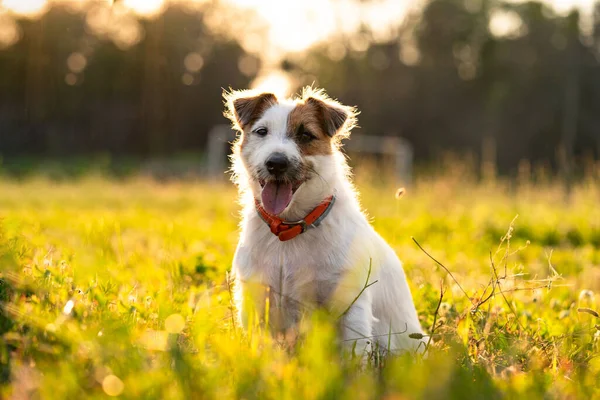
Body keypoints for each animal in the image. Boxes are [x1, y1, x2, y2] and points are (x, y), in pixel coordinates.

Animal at [225, 86, 426, 356]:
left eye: (305, 135)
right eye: (261, 132)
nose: (276, 163)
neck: (290, 227)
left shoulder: (351, 305)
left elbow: (354, 356)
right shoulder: (256, 299)